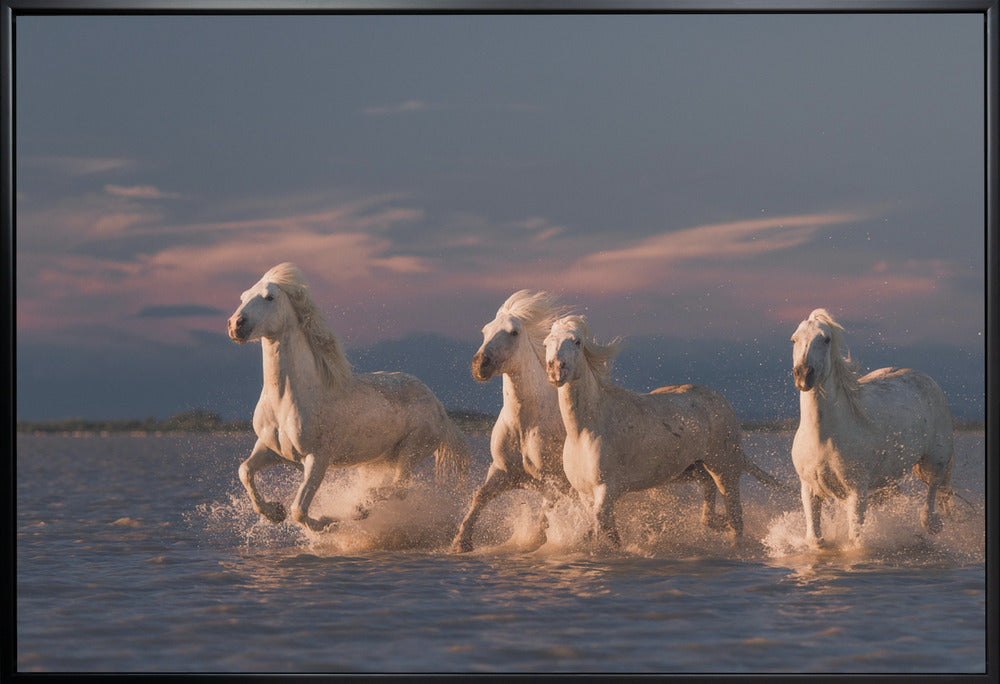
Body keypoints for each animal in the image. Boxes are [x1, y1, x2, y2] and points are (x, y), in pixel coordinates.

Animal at [227, 262, 470, 532]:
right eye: (243, 297)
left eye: (269, 297)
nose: (235, 325)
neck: (287, 400)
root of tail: (439, 408)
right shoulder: (271, 449)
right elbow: (245, 470)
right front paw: (273, 512)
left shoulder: (317, 458)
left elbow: (299, 509)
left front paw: (326, 522)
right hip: (381, 459)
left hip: (412, 450)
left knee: (400, 488)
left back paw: (360, 507)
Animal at [450, 290, 573, 553]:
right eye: (485, 330)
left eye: (513, 332)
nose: (480, 364)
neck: (525, 424)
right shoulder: (503, 472)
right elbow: (480, 496)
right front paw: (461, 542)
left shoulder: (555, 480)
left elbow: (546, 512)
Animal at [543, 315, 784, 547]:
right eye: (546, 343)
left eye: (576, 341)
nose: (556, 369)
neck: (585, 430)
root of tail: (722, 402)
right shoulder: (585, 494)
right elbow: (605, 530)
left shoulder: (608, 489)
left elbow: (601, 527)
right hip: (689, 470)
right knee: (710, 492)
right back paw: (716, 522)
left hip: (725, 469)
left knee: (736, 519)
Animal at [790, 308, 954, 547]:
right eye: (794, 339)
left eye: (826, 339)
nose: (803, 375)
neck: (824, 436)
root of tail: (927, 379)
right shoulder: (809, 489)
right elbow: (815, 539)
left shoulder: (856, 490)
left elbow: (855, 539)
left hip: (936, 459)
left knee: (933, 487)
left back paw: (931, 524)